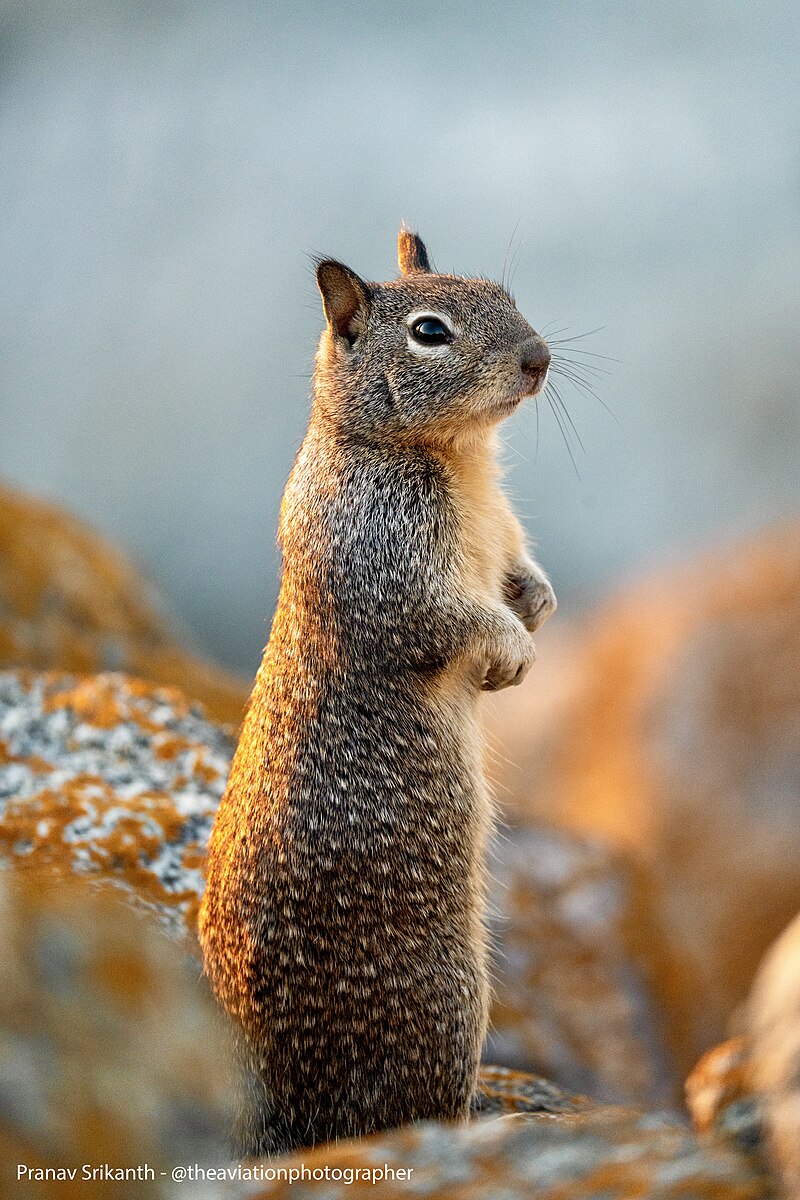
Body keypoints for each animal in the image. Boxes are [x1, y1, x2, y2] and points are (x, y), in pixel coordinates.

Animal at [199, 225, 556, 1152]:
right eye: (430, 333)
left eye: (507, 296)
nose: (540, 359)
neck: (456, 457)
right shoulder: (390, 563)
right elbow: (448, 621)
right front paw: (509, 652)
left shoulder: (502, 531)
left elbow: (517, 573)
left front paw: (536, 606)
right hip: (449, 1001)